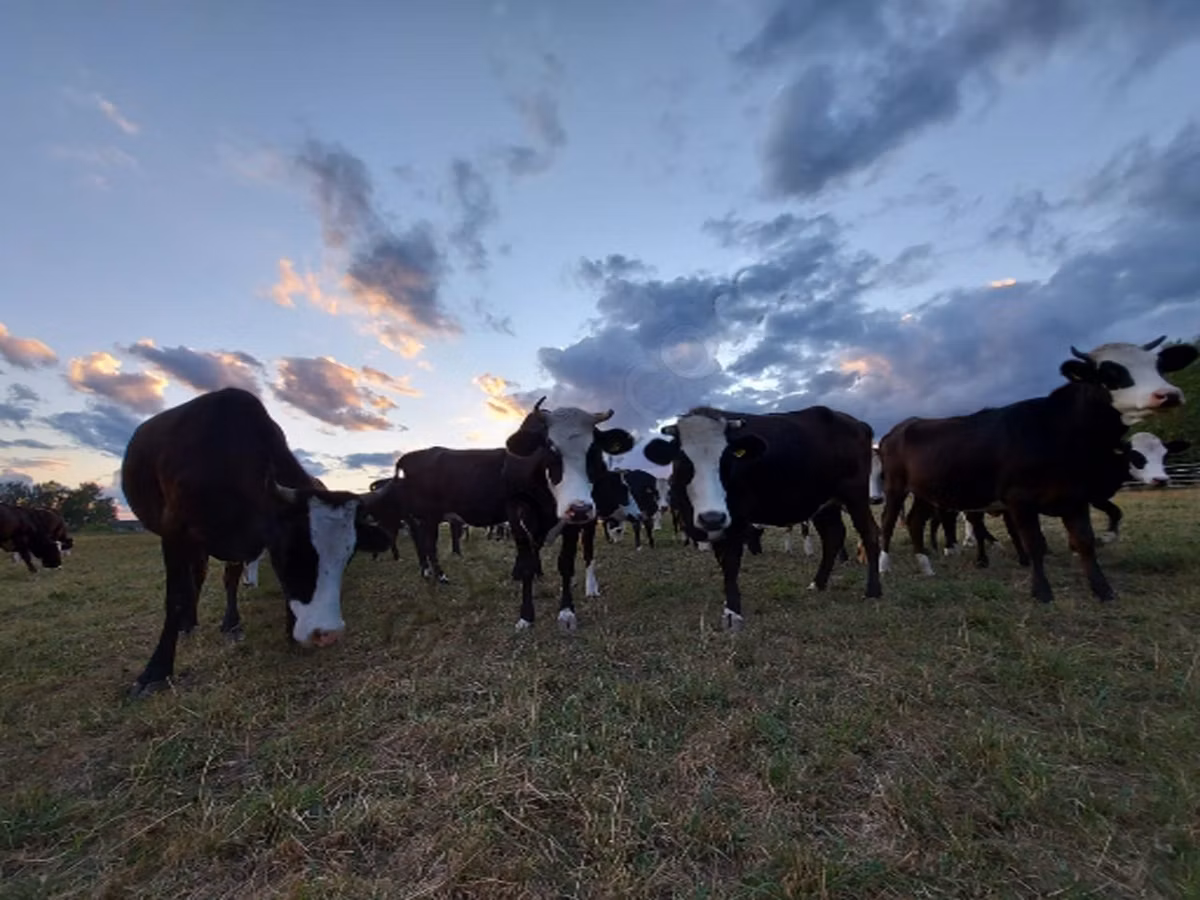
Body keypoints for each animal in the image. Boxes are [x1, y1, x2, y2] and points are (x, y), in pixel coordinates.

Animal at [120, 387, 396, 697]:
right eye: (291, 552)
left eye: (347, 556)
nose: (327, 634)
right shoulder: (174, 532)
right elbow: (176, 596)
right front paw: (155, 672)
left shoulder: (244, 542)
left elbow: (231, 579)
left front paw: (236, 624)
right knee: (195, 578)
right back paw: (187, 624)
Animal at [645, 405, 882, 630]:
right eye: (683, 460)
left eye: (726, 459)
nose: (712, 518)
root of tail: (857, 423)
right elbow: (722, 560)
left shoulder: (735, 519)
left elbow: (730, 562)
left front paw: (732, 613)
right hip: (825, 503)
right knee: (833, 536)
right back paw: (818, 584)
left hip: (855, 495)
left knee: (869, 533)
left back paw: (873, 592)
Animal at [877, 338, 1197, 603]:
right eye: (1109, 373)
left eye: (1158, 366)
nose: (1168, 394)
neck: (1058, 430)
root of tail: (900, 428)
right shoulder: (1020, 500)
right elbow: (1034, 544)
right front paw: (1042, 592)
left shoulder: (1075, 497)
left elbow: (1086, 542)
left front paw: (1103, 590)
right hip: (896, 486)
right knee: (889, 521)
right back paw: (883, 566)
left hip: (925, 491)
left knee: (915, 521)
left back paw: (925, 566)